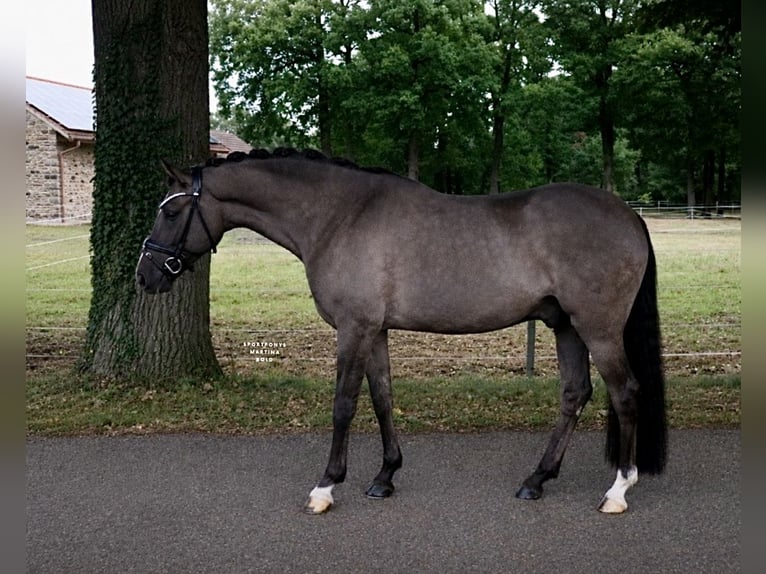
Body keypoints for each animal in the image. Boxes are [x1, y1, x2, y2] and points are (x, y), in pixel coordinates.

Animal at [136, 148, 666, 515]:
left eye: (169, 211)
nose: (146, 276)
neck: (339, 215)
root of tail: (629, 215)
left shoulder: (353, 328)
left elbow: (344, 405)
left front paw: (326, 487)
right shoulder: (375, 331)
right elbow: (382, 397)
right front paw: (385, 476)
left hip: (597, 328)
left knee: (625, 392)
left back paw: (618, 490)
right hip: (565, 327)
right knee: (575, 393)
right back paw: (536, 479)